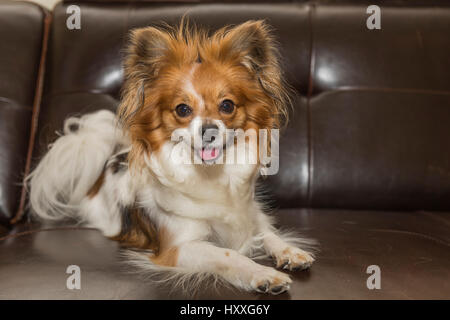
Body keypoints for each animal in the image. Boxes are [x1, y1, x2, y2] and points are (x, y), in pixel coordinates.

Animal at [28, 20, 314, 296]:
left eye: (227, 105)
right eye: (182, 109)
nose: (208, 130)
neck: (210, 173)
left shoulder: (249, 214)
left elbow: (266, 232)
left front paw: (289, 250)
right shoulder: (179, 248)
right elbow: (227, 253)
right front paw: (262, 273)